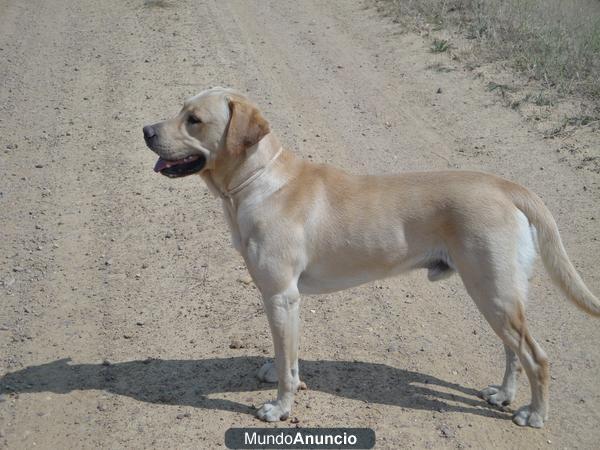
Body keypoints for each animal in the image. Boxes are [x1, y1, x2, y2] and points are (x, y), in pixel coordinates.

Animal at [143, 87, 596, 428]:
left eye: (194, 119)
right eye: (181, 110)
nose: (146, 130)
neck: (258, 182)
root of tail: (505, 185)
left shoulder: (281, 295)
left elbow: (287, 364)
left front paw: (279, 407)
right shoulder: (284, 299)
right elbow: (287, 355)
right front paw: (281, 376)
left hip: (493, 292)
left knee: (537, 357)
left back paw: (534, 414)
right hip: (497, 294)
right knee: (513, 352)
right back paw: (502, 394)